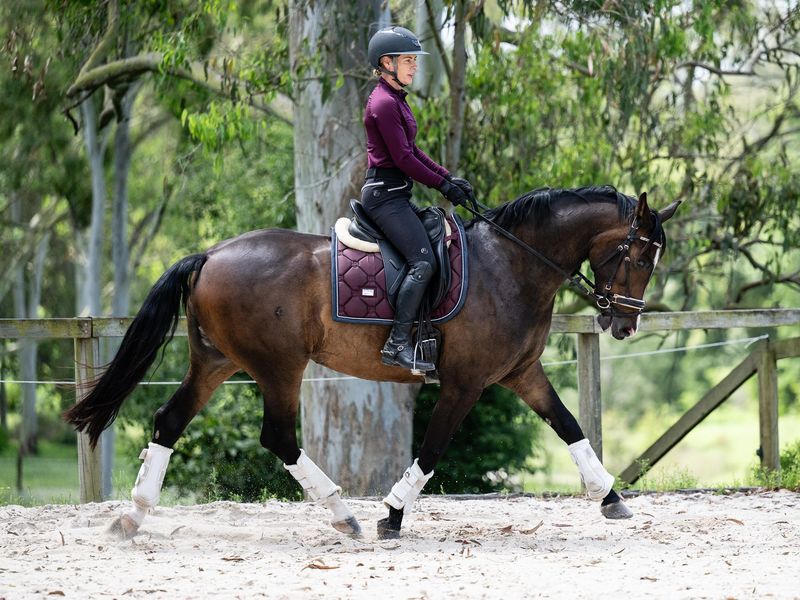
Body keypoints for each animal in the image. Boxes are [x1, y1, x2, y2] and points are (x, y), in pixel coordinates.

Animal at [64, 185, 679, 539]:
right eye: (640, 255)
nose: (625, 325)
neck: (510, 264)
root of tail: (211, 254)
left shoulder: (521, 374)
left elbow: (571, 427)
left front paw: (612, 499)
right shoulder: (465, 383)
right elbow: (431, 450)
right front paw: (392, 514)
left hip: (215, 363)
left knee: (169, 420)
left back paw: (133, 516)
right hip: (278, 367)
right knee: (277, 436)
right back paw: (344, 512)